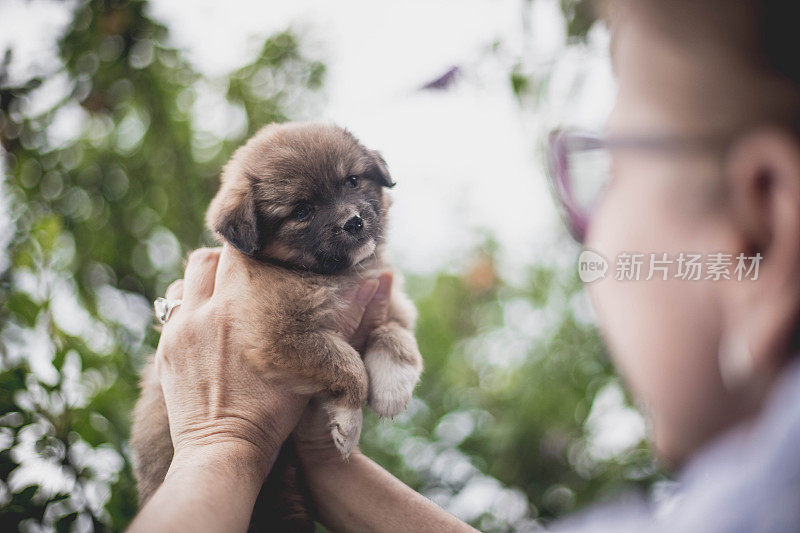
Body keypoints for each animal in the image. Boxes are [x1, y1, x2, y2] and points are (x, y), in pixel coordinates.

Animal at [131, 121, 424, 528]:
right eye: (302, 210)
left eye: (352, 181)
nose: (353, 221)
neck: (334, 276)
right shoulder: (278, 335)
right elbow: (347, 364)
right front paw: (349, 424)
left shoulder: (387, 296)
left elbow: (396, 333)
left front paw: (395, 384)